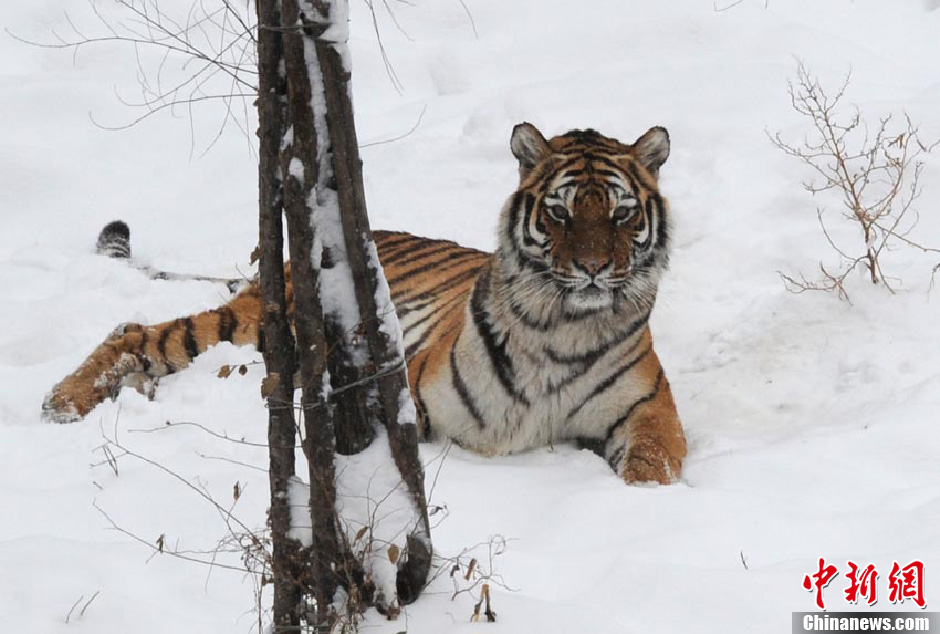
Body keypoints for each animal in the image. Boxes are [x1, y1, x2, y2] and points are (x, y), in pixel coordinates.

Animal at [44, 122, 688, 484]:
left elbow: (653, 470)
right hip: (256, 325)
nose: (592, 268)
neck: (563, 327)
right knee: (137, 332)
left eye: (621, 213)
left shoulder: (650, 412)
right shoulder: (405, 395)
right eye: (559, 212)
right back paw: (64, 403)